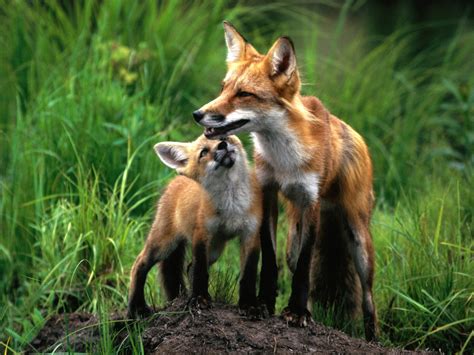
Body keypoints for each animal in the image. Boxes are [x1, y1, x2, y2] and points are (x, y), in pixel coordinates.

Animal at [127, 135, 262, 318]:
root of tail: (176, 179)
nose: (222, 145)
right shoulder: (202, 233)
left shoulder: (251, 234)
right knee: (138, 265)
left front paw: (249, 305)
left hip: (215, 249)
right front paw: (199, 299)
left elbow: (248, 275)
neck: (231, 205)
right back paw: (136, 308)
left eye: (223, 137)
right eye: (203, 152)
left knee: (189, 267)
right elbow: (200, 270)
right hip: (164, 244)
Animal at [193, 20, 378, 340]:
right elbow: (270, 259)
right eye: (223, 88)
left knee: (368, 299)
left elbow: (304, 266)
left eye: (244, 94)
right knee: (298, 266)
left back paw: (372, 338)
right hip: (293, 234)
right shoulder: (268, 192)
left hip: (358, 239)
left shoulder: (311, 201)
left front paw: (297, 312)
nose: (198, 114)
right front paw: (264, 302)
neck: (285, 161)